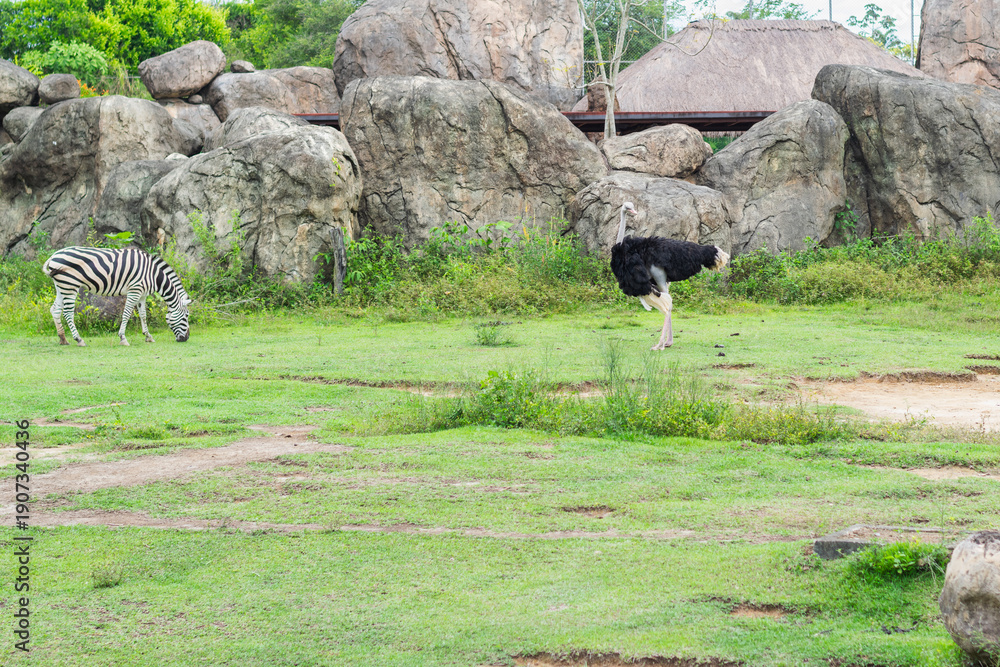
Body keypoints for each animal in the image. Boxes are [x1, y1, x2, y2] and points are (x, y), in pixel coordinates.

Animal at [42, 247, 192, 346]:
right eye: (186, 316)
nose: (186, 338)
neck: (152, 275)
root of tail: (54, 255)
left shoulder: (142, 295)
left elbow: (143, 315)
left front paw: (148, 336)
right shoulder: (134, 291)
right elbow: (126, 314)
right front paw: (123, 338)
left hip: (61, 286)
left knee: (55, 310)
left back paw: (63, 339)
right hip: (70, 286)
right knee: (67, 313)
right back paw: (79, 339)